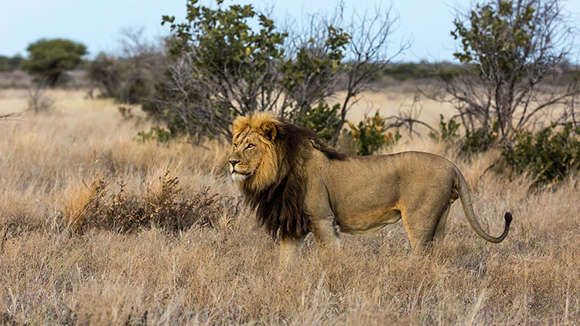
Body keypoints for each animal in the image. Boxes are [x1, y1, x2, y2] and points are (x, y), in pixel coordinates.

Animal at [228, 113, 512, 264]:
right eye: (235, 144)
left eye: (250, 146)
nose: (231, 162)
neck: (275, 175)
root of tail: (452, 165)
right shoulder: (292, 223)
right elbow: (285, 263)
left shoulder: (322, 218)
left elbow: (331, 254)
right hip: (440, 219)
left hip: (419, 220)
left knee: (421, 253)